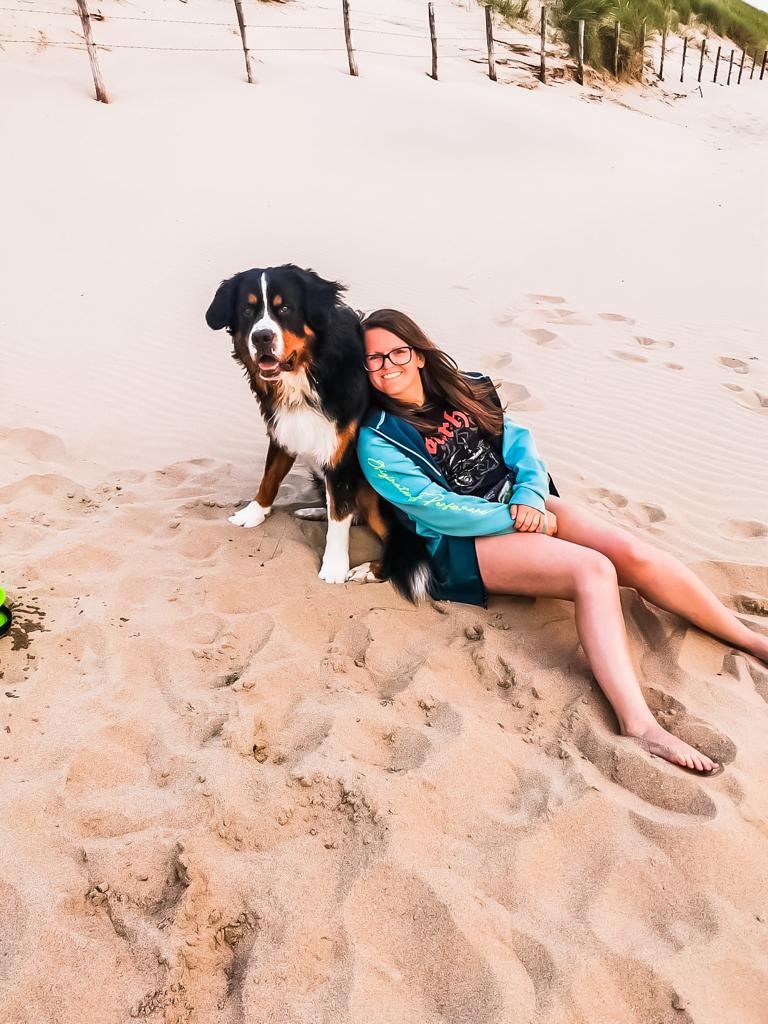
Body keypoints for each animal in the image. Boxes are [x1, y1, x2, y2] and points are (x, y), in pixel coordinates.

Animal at [204, 260, 430, 602]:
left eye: (285, 309)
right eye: (247, 310)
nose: (262, 337)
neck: (309, 374)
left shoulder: (343, 454)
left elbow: (340, 518)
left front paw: (334, 567)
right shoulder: (283, 430)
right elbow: (269, 477)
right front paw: (254, 512)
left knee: (397, 536)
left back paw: (370, 569)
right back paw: (314, 511)